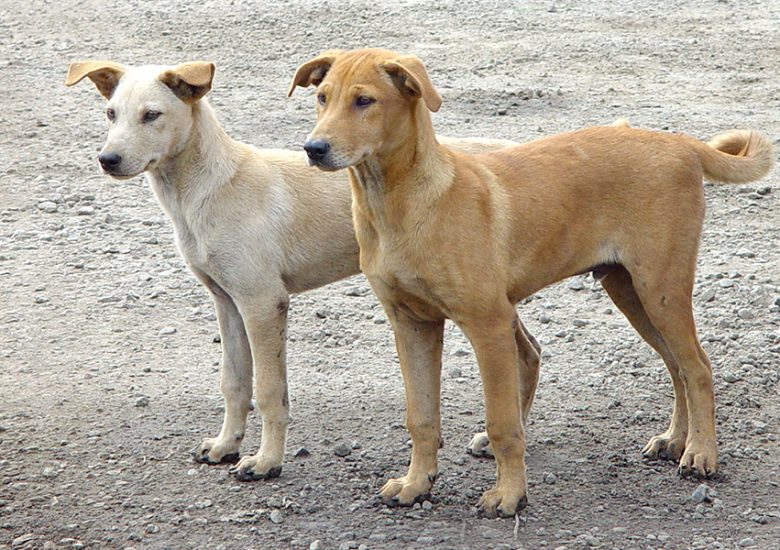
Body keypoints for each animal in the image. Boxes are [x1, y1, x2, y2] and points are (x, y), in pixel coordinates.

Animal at [65, 60, 516, 484]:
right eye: (111, 113)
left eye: (152, 115)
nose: (107, 160)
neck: (210, 188)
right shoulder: (227, 302)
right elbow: (234, 382)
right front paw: (226, 445)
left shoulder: (263, 303)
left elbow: (268, 391)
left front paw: (266, 461)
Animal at [288, 47, 772, 516]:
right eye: (323, 98)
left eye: (364, 101)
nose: (314, 148)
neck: (400, 202)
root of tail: (680, 143)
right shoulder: (410, 324)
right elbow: (421, 417)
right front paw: (415, 485)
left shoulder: (488, 325)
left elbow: (503, 423)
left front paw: (509, 496)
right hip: (629, 289)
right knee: (676, 366)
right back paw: (675, 440)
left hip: (661, 287)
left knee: (698, 367)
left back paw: (701, 454)